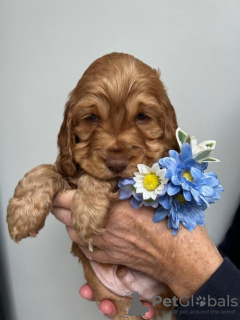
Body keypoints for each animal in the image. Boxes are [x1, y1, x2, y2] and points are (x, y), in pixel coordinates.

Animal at [6, 53, 179, 320]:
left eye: (142, 117)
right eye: (92, 118)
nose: (116, 163)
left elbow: (101, 177)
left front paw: (86, 212)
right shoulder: (69, 170)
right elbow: (46, 169)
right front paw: (21, 214)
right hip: (122, 304)